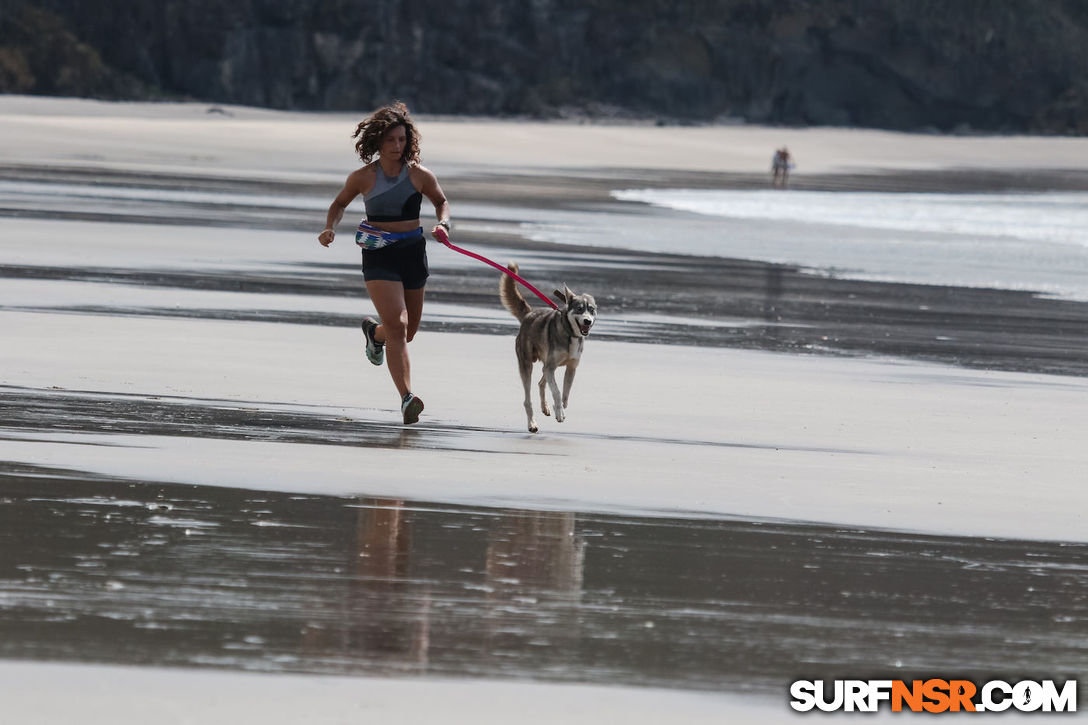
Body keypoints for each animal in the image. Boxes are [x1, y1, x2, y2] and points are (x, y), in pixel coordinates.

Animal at [498, 262, 596, 431]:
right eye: (579, 309)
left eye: (591, 310)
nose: (587, 321)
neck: (570, 333)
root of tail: (529, 314)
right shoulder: (550, 368)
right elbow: (556, 392)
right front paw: (559, 412)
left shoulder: (571, 368)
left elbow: (564, 395)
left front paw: (558, 408)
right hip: (527, 365)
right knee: (528, 399)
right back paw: (532, 423)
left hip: (547, 364)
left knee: (541, 383)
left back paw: (545, 407)